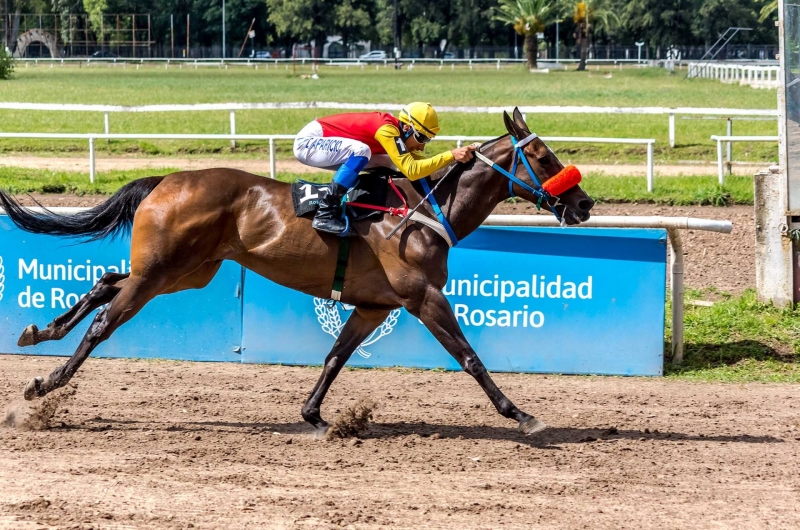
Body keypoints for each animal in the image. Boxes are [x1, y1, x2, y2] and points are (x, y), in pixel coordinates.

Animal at [1, 108, 592, 434]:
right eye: (543, 156)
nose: (584, 204)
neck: (425, 209)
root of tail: (166, 180)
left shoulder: (373, 305)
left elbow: (334, 358)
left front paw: (316, 417)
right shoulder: (424, 298)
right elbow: (469, 357)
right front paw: (521, 415)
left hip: (188, 271)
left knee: (106, 284)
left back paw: (38, 332)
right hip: (161, 272)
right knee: (104, 323)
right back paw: (44, 386)